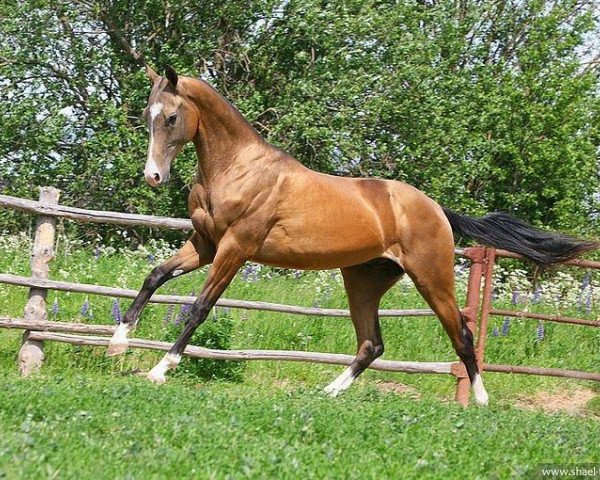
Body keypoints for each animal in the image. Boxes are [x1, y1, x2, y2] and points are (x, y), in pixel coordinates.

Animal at [108, 62, 596, 402]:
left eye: (172, 118)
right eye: (148, 115)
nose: (153, 176)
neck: (238, 170)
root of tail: (436, 208)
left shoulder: (234, 249)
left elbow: (198, 308)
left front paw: (159, 369)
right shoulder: (205, 245)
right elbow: (154, 276)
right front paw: (118, 342)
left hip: (431, 276)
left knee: (461, 333)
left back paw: (479, 400)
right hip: (363, 279)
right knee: (372, 344)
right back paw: (328, 391)